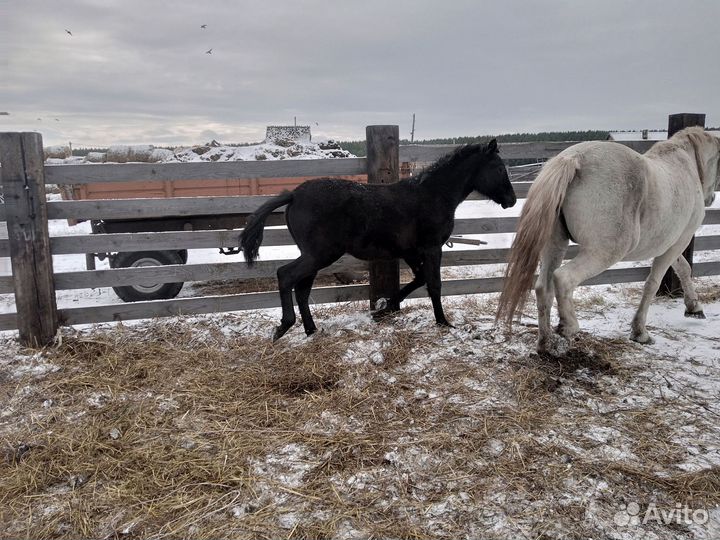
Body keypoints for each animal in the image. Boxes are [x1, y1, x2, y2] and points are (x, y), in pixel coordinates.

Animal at [241, 139, 517, 341]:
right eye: (499, 168)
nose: (512, 200)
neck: (433, 195)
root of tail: (294, 195)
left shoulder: (410, 251)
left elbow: (419, 280)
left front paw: (383, 310)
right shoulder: (431, 248)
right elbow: (434, 284)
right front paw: (443, 322)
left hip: (314, 255)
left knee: (302, 289)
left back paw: (311, 331)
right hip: (320, 254)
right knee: (286, 276)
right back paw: (283, 327)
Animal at [497, 127, 720, 354]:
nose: (710, 199)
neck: (685, 165)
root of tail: (573, 158)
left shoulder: (668, 244)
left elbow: (683, 268)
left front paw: (694, 307)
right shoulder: (679, 240)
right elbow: (654, 282)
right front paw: (640, 332)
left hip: (554, 245)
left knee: (543, 288)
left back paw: (545, 343)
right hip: (604, 251)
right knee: (563, 278)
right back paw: (569, 326)